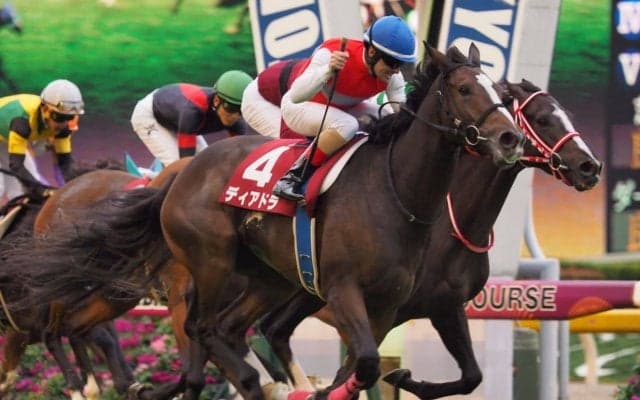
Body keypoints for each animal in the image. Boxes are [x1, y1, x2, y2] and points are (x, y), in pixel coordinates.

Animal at [253, 78, 603, 399]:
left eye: (566, 114)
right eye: (542, 118)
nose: (591, 166)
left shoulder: (445, 306)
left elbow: (471, 376)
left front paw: (405, 378)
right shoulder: (378, 312)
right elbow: (350, 373)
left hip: (309, 290)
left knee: (273, 330)